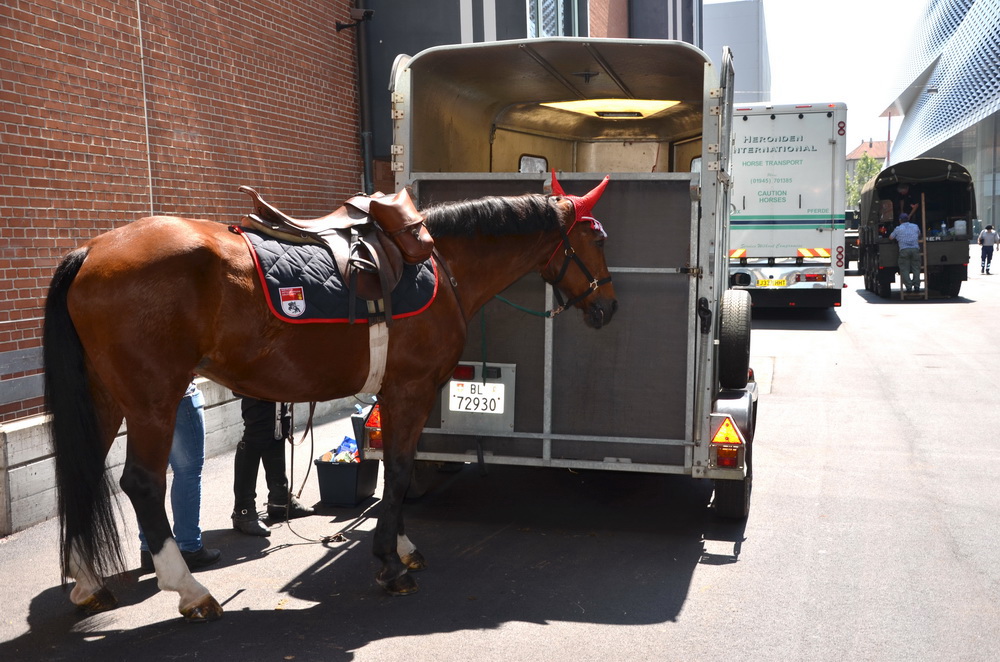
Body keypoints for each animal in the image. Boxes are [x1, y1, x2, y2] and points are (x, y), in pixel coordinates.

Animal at [42, 176, 617, 622]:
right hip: (152, 401)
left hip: (105, 399)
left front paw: (401, 548)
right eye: (598, 238)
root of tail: (92, 252)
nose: (609, 307)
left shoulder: (398, 391)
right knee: (141, 483)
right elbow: (399, 471)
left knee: (84, 472)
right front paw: (389, 563)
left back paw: (88, 584)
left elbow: (399, 469)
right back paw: (190, 591)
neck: (441, 264)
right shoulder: (410, 388)